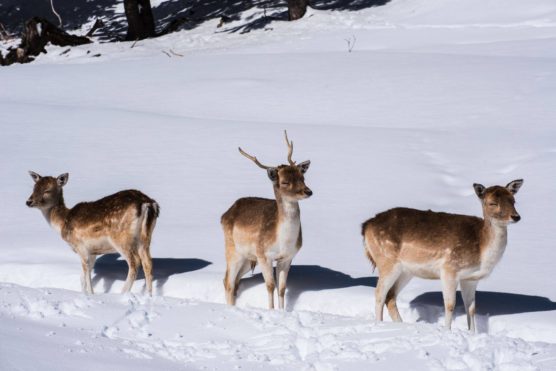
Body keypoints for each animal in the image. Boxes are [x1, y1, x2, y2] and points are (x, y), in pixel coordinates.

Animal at [27, 172, 160, 296]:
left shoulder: (81, 246)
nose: (29, 201)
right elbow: (82, 278)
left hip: (121, 238)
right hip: (145, 237)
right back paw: (149, 296)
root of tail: (147, 203)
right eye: (34, 187)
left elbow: (86, 274)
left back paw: (122, 294)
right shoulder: (93, 252)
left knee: (135, 262)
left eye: (47, 190)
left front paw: (91, 294)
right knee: (148, 263)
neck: (63, 223)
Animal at [222, 132, 312, 310]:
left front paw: (282, 311)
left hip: (248, 258)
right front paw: (271, 310)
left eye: (302, 177)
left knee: (233, 281)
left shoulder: (287, 257)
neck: (283, 241)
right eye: (285, 182)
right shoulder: (263, 254)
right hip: (233, 250)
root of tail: (225, 214)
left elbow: (282, 288)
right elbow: (270, 286)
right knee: (228, 282)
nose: (308, 191)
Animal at [362, 179, 524, 332]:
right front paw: (447, 331)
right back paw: (379, 324)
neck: (482, 250)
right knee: (379, 294)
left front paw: (473, 333)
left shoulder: (470, 279)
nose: (516, 216)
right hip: (387, 261)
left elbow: (471, 308)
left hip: (406, 271)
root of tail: (366, 226)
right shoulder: (449, 269)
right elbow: (450, 305)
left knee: (390, 296)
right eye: (492, 203)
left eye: (513, 200)